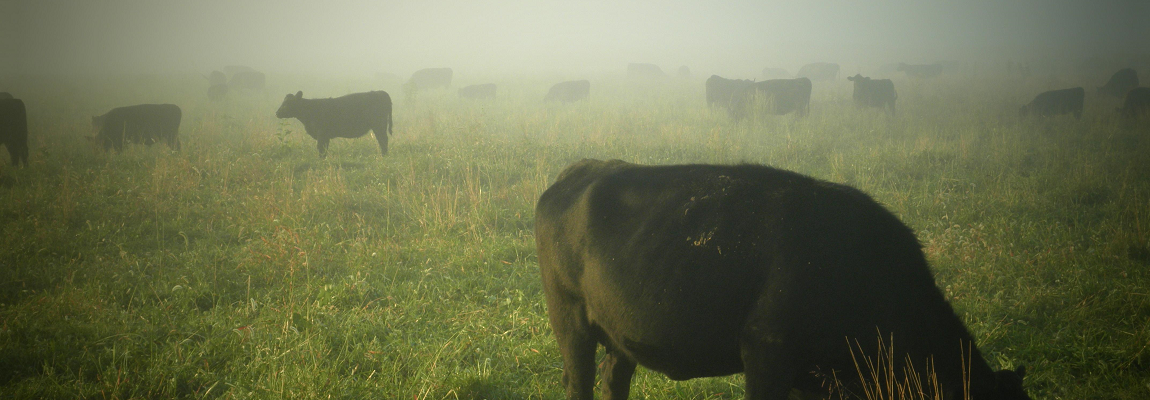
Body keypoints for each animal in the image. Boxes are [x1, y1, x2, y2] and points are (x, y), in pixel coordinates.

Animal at [535, 158, 1035, 400]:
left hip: (620, 335)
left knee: (612, 380)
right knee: (578, 383)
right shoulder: (767, 352)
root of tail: (584, 167)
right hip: (571, 322)